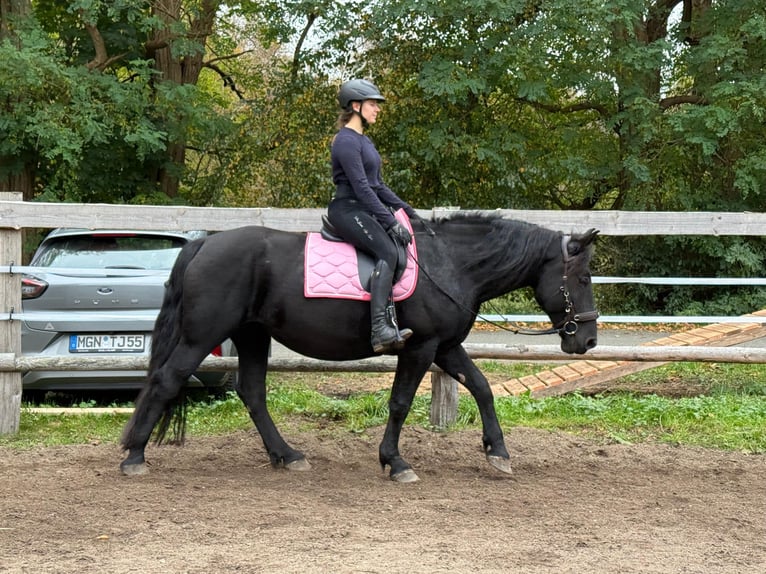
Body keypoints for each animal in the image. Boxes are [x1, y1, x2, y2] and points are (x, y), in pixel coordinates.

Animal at [120, 213, 599, 482]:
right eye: (582, 278)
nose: (589, 340)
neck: (451, 264)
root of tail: (205, 243)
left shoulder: (445, 347)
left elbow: (481, 388)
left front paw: (497, 453)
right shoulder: (421, 347)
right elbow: (400, 402)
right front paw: (396, 462)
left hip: (253, 334)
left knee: (252, 392)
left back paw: (287, 456)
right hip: (202, 335)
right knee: (166, 380)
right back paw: (135, 457)